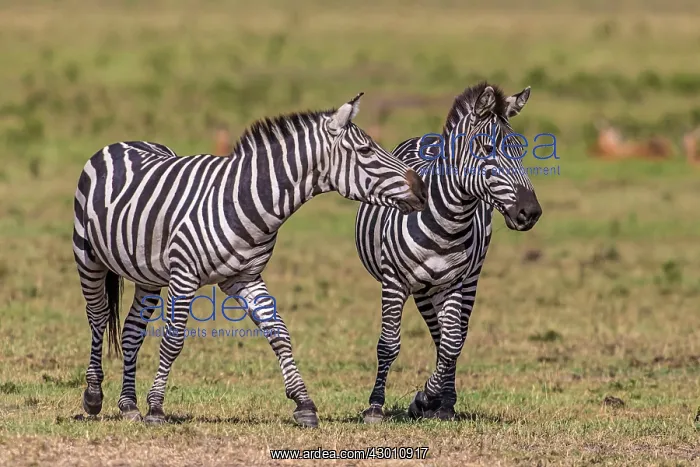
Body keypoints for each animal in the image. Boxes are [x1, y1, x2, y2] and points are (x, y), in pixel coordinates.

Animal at [72, 92, 428, 428]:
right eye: (366, 150)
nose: (422, 189)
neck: (244, 198)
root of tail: (125, 142)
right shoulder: (184, 275)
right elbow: (173, 340)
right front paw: (157, 408)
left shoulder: (245, 277)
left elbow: (278, 331)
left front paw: (304, 404)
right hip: (88, 257)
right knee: (98, 317)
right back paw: (93, 396)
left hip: (146, 274)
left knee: (132, 330)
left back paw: (128, 405)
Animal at [354, 82, 542, 423]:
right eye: (486, 149)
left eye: (520, 151)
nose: (530, 212)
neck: (447, 221)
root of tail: (427, 138)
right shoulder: (394, 281)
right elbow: (388, 343)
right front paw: (375, 405)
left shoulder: (455, 282)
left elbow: (453, 343)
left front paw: (427, 398)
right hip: (422, 290)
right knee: (435, 334)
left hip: (462, 281)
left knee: (451, 336)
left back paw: (444, 402)